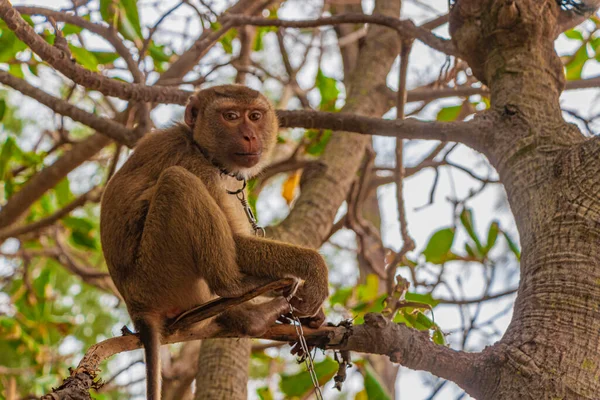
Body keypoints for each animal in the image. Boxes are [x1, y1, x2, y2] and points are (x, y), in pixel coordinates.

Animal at [101, 85, 330, 400]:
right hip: (158, 275)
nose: (250, 136)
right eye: (230, 116)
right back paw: (235, 287)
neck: (200, 147)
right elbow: (235, 242)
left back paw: (251, 316)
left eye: (255, 116)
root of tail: (137, 308)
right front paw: (314, 268)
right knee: (178, 182)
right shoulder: (196, 163)